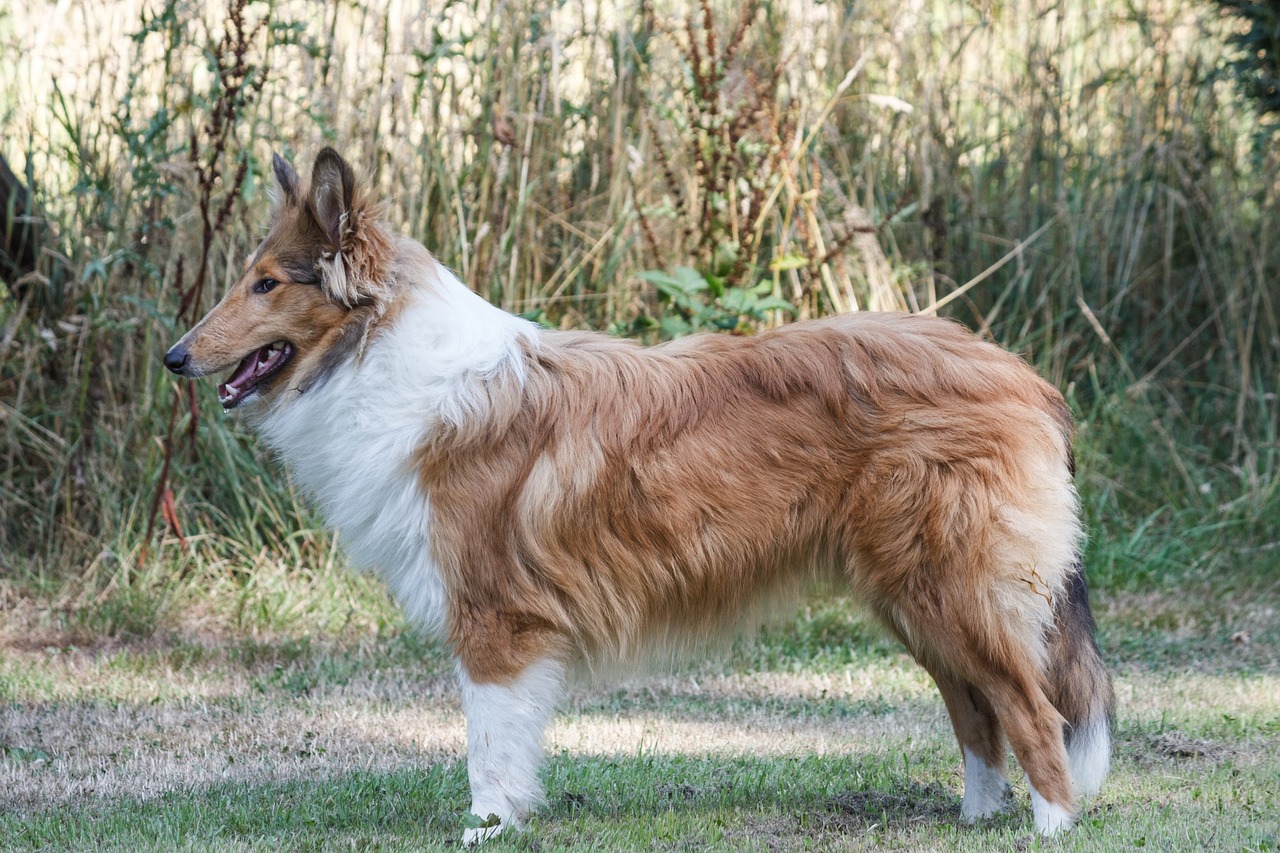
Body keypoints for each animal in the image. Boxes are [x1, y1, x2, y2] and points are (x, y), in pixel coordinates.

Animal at [167, 146, 1111, 835]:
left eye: (266, 282)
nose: (176, 356)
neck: (382, 355)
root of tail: (1027, 377)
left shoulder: (495, 618)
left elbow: (488, 746)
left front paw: (486, 827)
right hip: (915, 594)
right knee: (977, 711)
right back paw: (977, 817)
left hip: (951, 586)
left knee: (1031, 710)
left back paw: (1049, 824)